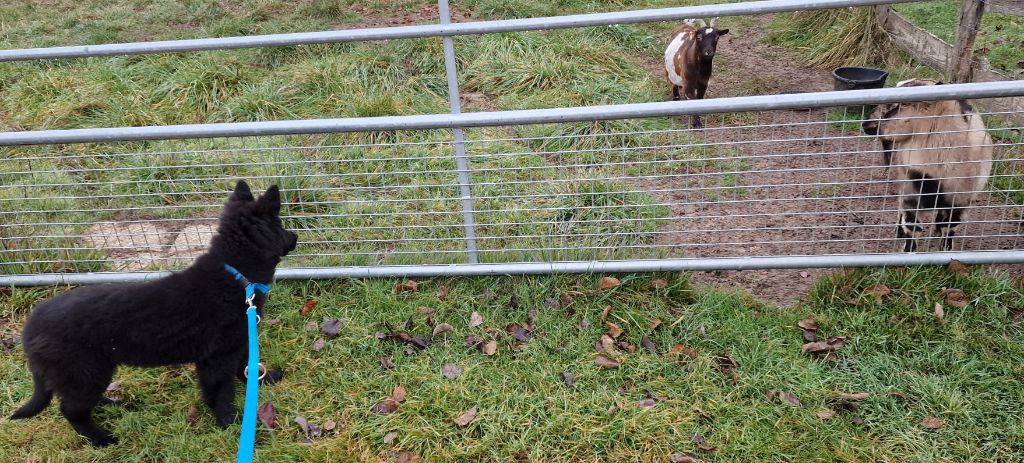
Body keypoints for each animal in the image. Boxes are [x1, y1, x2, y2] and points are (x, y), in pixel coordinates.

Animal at [11, 180, 296, 444]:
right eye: (281, 223)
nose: (295, 237)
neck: (236, 274)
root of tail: (30, 329)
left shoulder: (239, 341)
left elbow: (246, 365)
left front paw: (264, 379)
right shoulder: (216, 358)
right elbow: (221, 392)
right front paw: (231, 422)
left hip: (87, 375)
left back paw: (117, 405)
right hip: (85, 373)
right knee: (72, 410)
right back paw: (101, 439)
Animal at [860, 79, 995, 253]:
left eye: (899, 104)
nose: (866, 124)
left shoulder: (961, 199)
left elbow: (950, 226)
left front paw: (946, 250)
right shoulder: (911, 192)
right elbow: (912, 226)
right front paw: (908, 251)